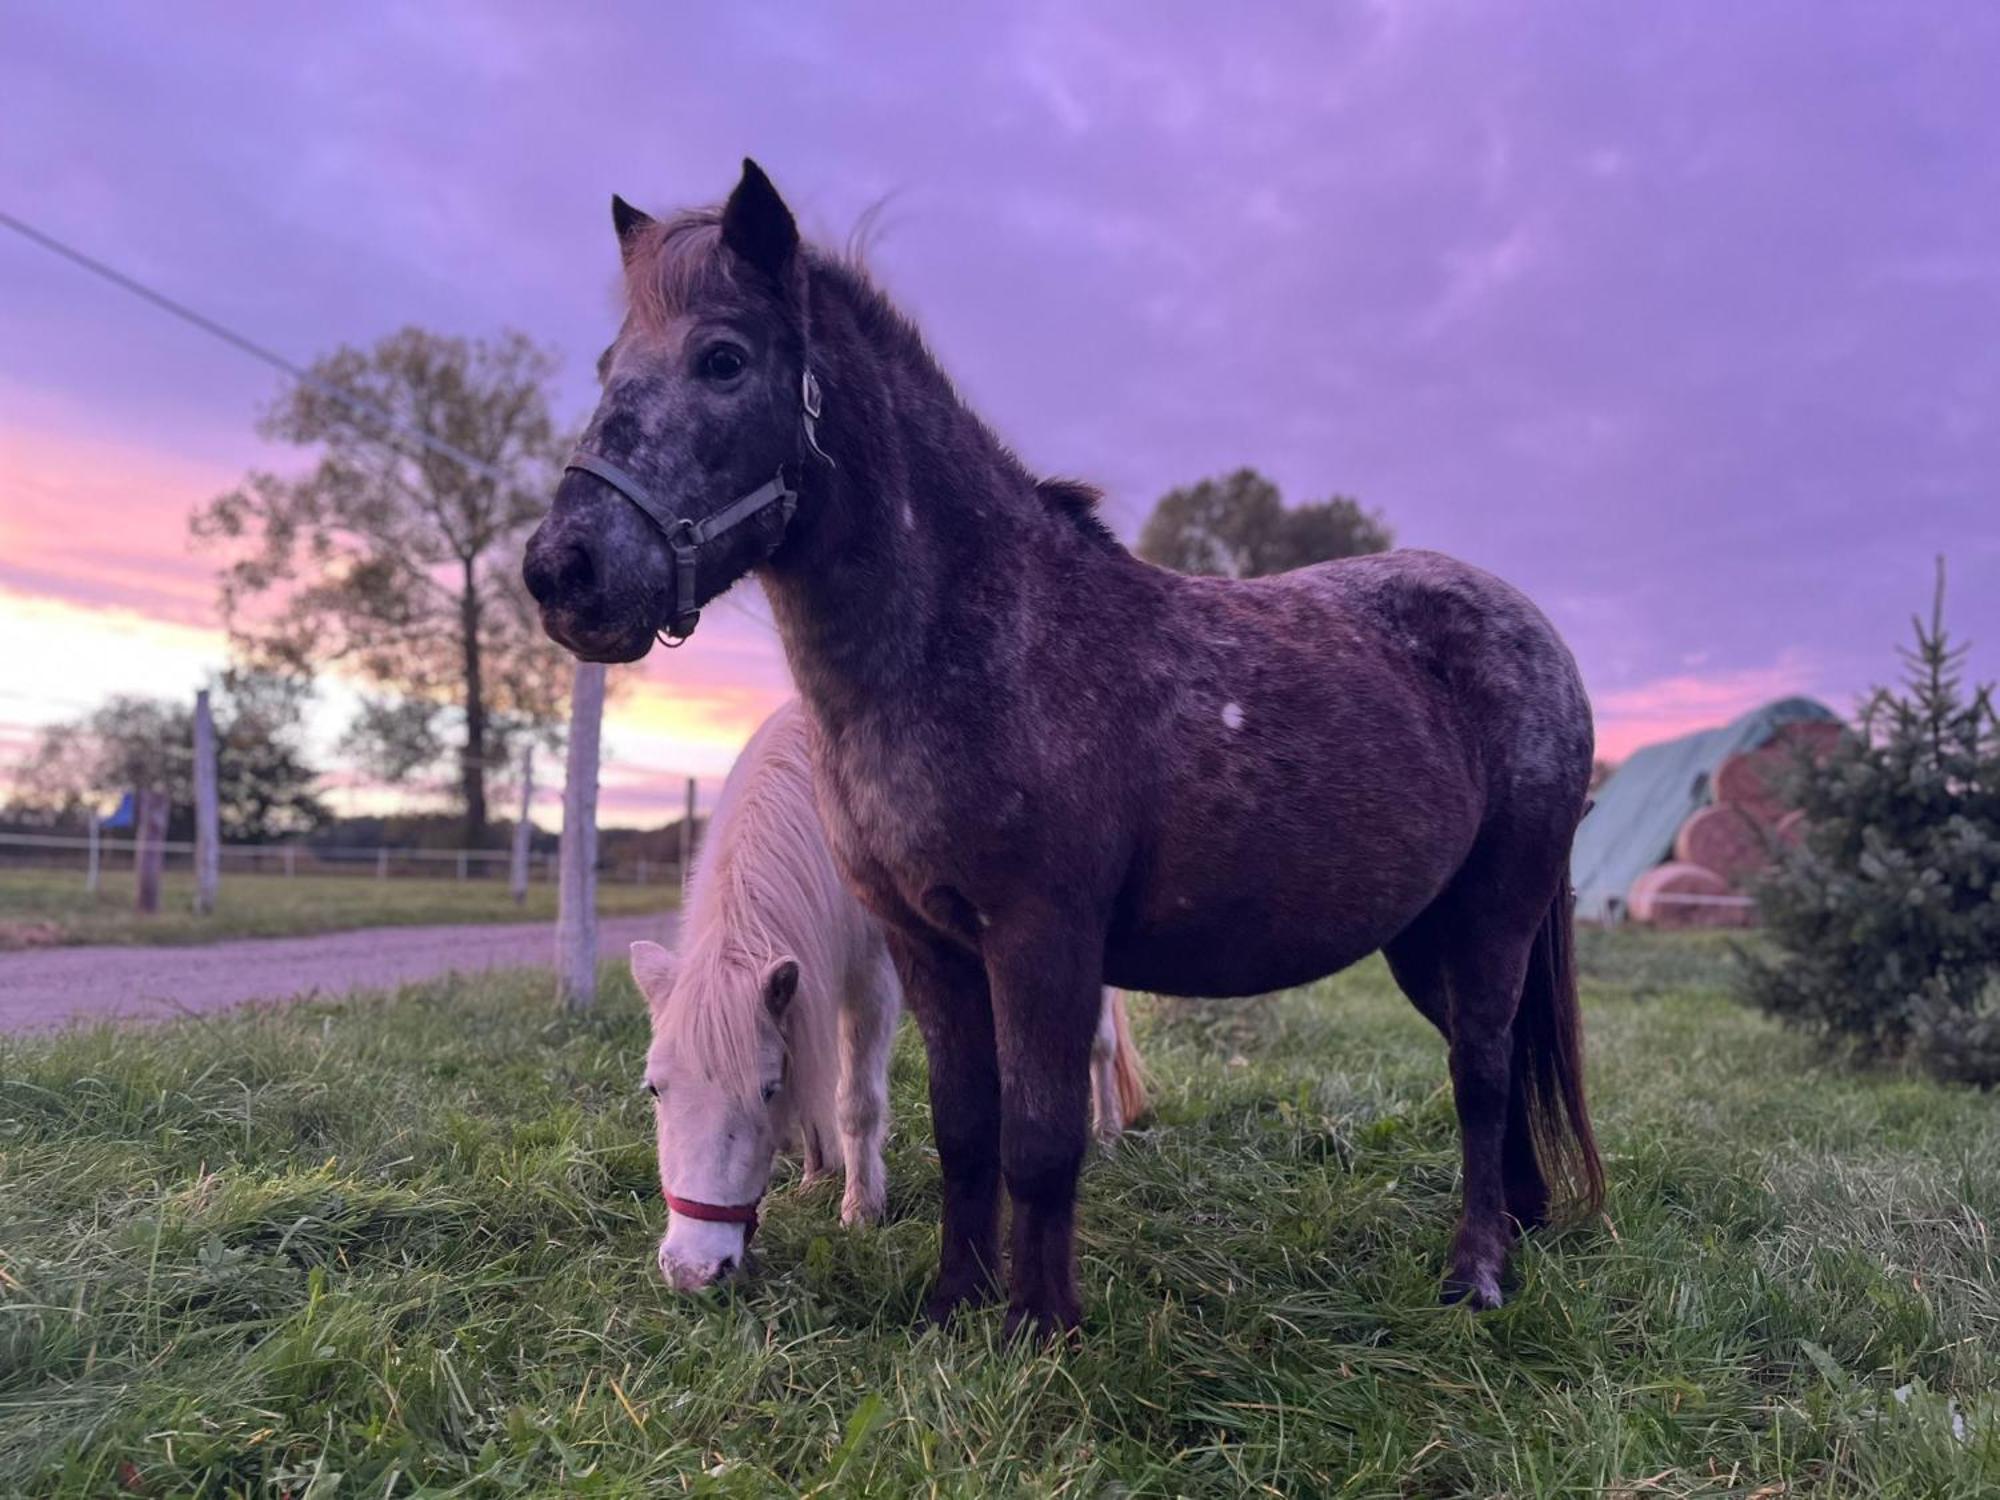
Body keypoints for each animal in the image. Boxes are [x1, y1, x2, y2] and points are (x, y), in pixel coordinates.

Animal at [632, 696, 1152, 1296]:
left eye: (765, 1091)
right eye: (655, 1090)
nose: (692, 1270)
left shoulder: (874, 981)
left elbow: (856, 1099)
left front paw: (861, 1210)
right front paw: (818, 1175)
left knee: (1101, 1045)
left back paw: (1107, 1134)